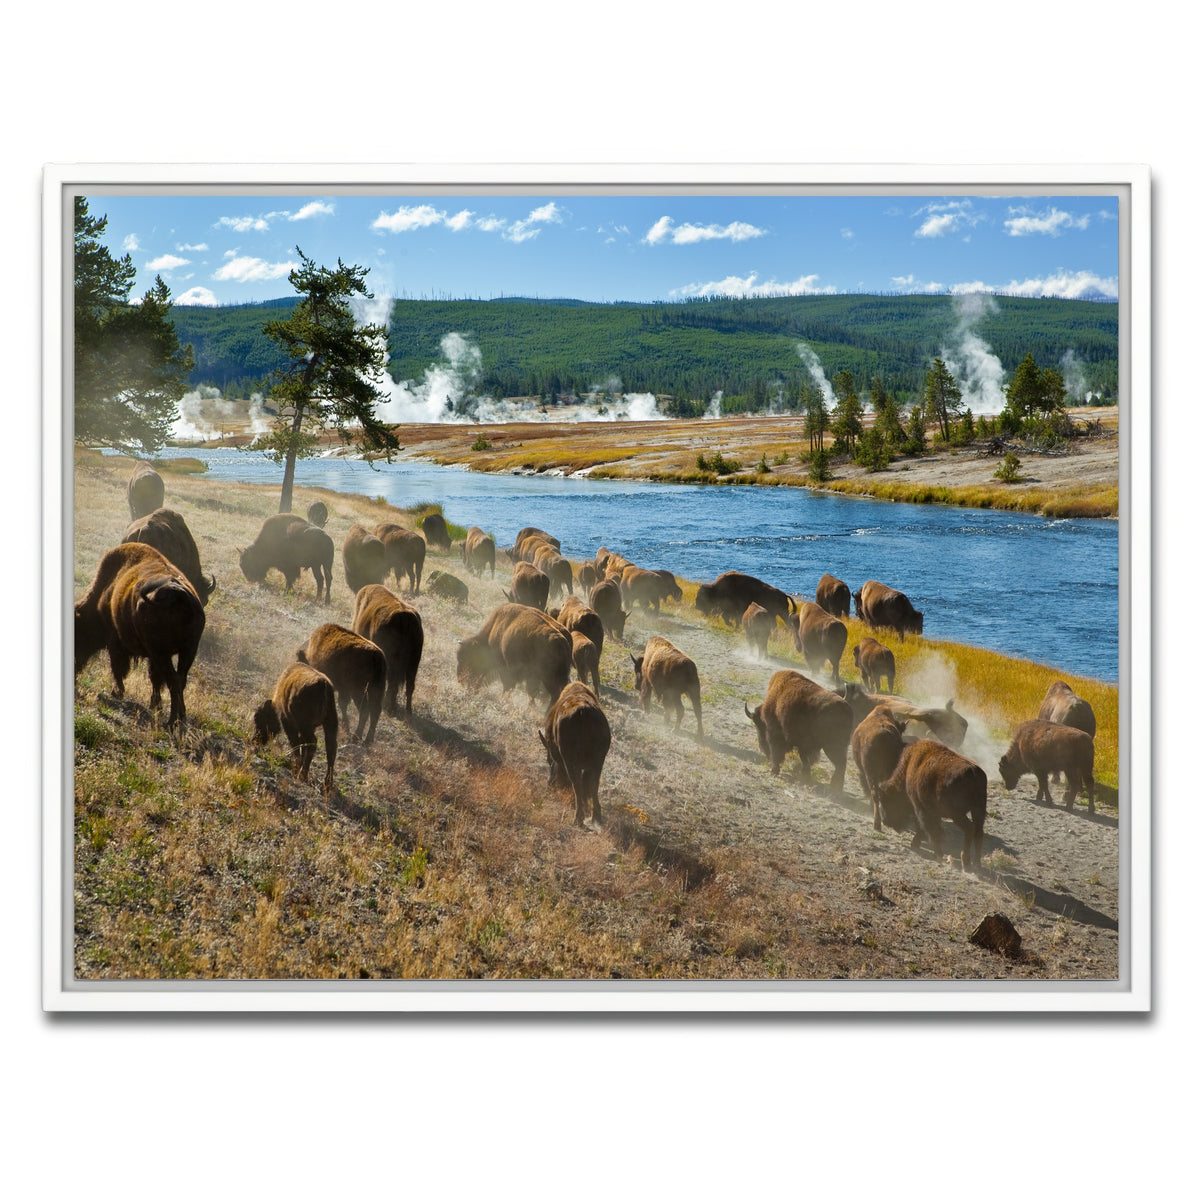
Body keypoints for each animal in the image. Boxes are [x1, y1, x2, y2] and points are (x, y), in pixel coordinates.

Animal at [75, 542, 205, 728]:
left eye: (79, 632)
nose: (75, 668)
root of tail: (177, 594)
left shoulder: (116, 641)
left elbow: (118, 668)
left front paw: (117, 692)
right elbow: (153, 678)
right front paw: (155, 704)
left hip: (162, 652)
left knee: (173, 680)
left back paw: (171, 722)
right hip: (187, 651)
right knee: (179, 680)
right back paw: (180, 719)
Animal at [252, 662, 338, 794]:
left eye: (258, 718)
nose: (255, 741)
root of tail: (322, 684)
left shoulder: (288, 722)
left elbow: (295, 744)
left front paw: (296, 769)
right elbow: (302, 745)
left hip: (306, 725)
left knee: (312, 743)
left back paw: (302, 775)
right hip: (329, 722)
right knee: (330, 748)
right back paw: (327, 785)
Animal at [352, 584, 424, 717]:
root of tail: (406, 618)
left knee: (393, 683)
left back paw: (390, 708)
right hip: (413, 663)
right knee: (408, 686)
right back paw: (407, 713)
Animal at [538, 682, 611, 827]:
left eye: (549, 760)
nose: (550, 784)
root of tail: (584, 711)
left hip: (572, 761)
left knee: (577, 783)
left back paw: (578, 818)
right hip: (598, 761)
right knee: (593, 784)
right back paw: (596, 817)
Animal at [877, 740, 987, 869]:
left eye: (886, 801)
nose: (885, 821)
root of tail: (973, 771)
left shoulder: (920, 808)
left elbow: (927, 828)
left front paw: (933, 852)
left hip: (956, 814)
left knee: (969, 828)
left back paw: (965, 862)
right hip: (978, 811)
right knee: (979, 832)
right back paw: (977, 863)